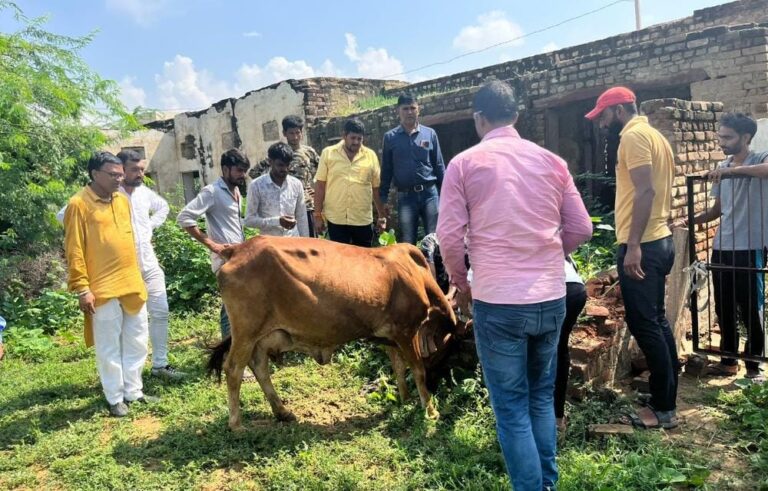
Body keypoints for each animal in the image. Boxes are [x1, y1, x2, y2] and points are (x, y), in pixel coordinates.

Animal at [207, 234, 456, 430]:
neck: (417, 274)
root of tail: (236, 249)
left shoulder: (390, 336)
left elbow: (399, 368)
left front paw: (405, 399)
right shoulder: (406, 331)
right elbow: (418, 370)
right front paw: (430, 410)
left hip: (260, 336)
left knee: (259, 366)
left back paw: (283, 412)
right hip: (246, 332)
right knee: (233, 369)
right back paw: (236, 424)